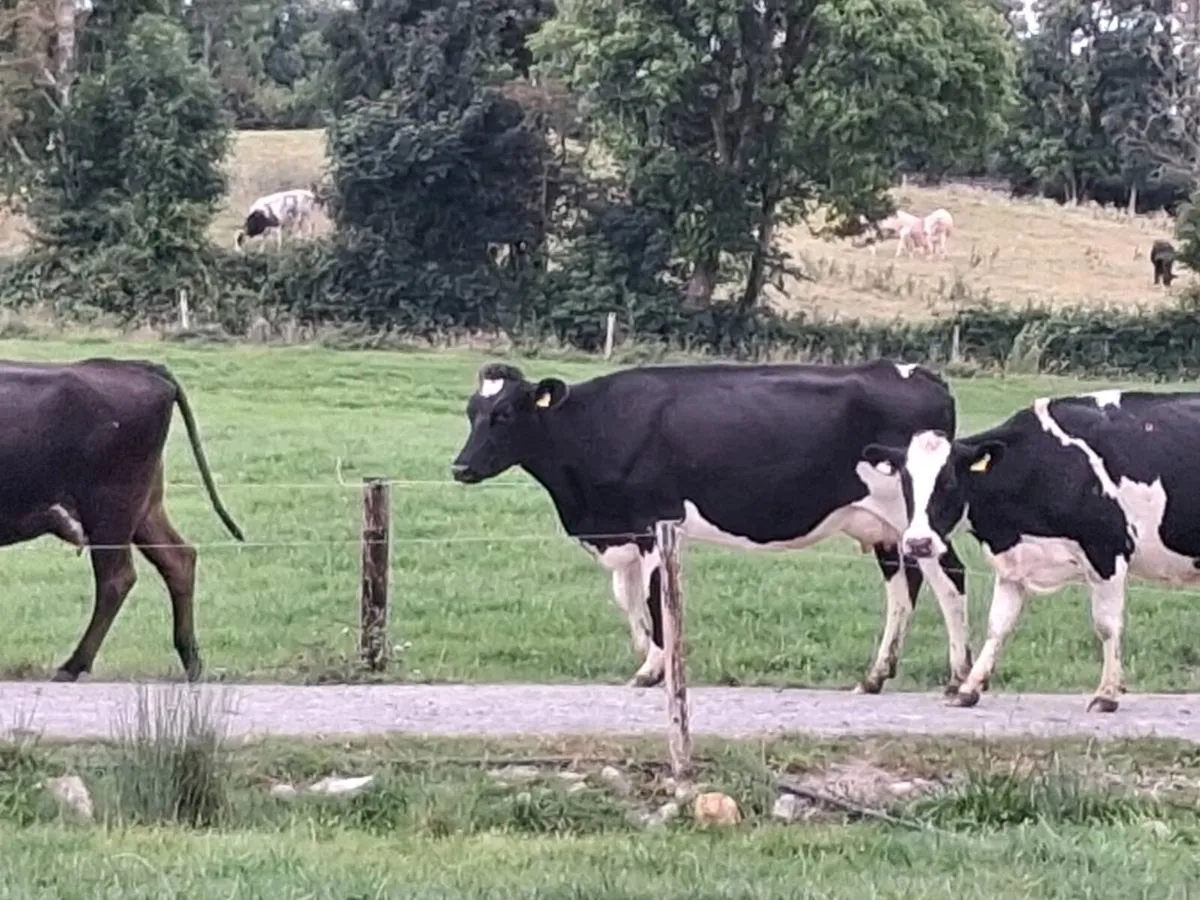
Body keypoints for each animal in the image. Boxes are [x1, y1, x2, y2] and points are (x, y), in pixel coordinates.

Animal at [0, 358, 244, 682]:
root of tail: (136, 366)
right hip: (144, 511)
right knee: (178, 560)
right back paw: (191, 661)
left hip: (110, 513)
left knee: (116, 580)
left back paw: (72, 666)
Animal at [450, 360, 976, 694]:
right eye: (472, 413)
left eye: (505, 414)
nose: (460, 468)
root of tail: (919, 373)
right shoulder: (622, 530)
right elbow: (628, 598)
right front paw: (649, 658)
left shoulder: (653, 521)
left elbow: (654, 599)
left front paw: (653, 669)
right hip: (885, 529)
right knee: (903, 588)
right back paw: (875, 676)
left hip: (919, 519)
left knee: (950, 576)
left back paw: (959, 676)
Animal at [860, 389, 1200, 714]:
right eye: (905, 482)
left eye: (949, 482)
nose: (918, 543)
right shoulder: (1013, 564)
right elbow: (998, 625)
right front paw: (969, 689)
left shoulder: (1107, 551)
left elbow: (1107, 625)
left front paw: (1106, 695)